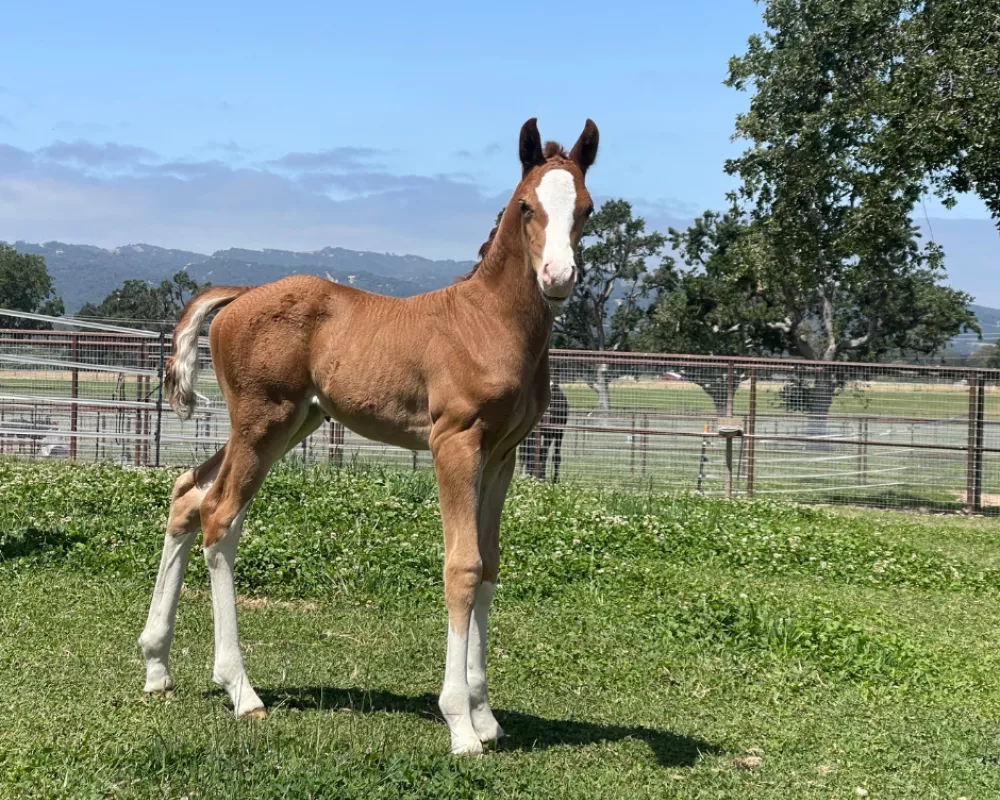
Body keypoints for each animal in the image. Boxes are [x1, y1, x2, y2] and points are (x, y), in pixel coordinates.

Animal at [137, 115, 596, 752]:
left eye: (586, 208)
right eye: (526, 206)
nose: (558, 277)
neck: (487, 323)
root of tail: (240, 295)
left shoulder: (503, 454)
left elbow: (489, 566)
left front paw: (486, 716)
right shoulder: (455, 442)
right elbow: (462, 567)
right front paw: (460, 724)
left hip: (290, 421)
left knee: (187, 494)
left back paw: (157, 665)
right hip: (263, 421)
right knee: (220, 516)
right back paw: (241, 690)